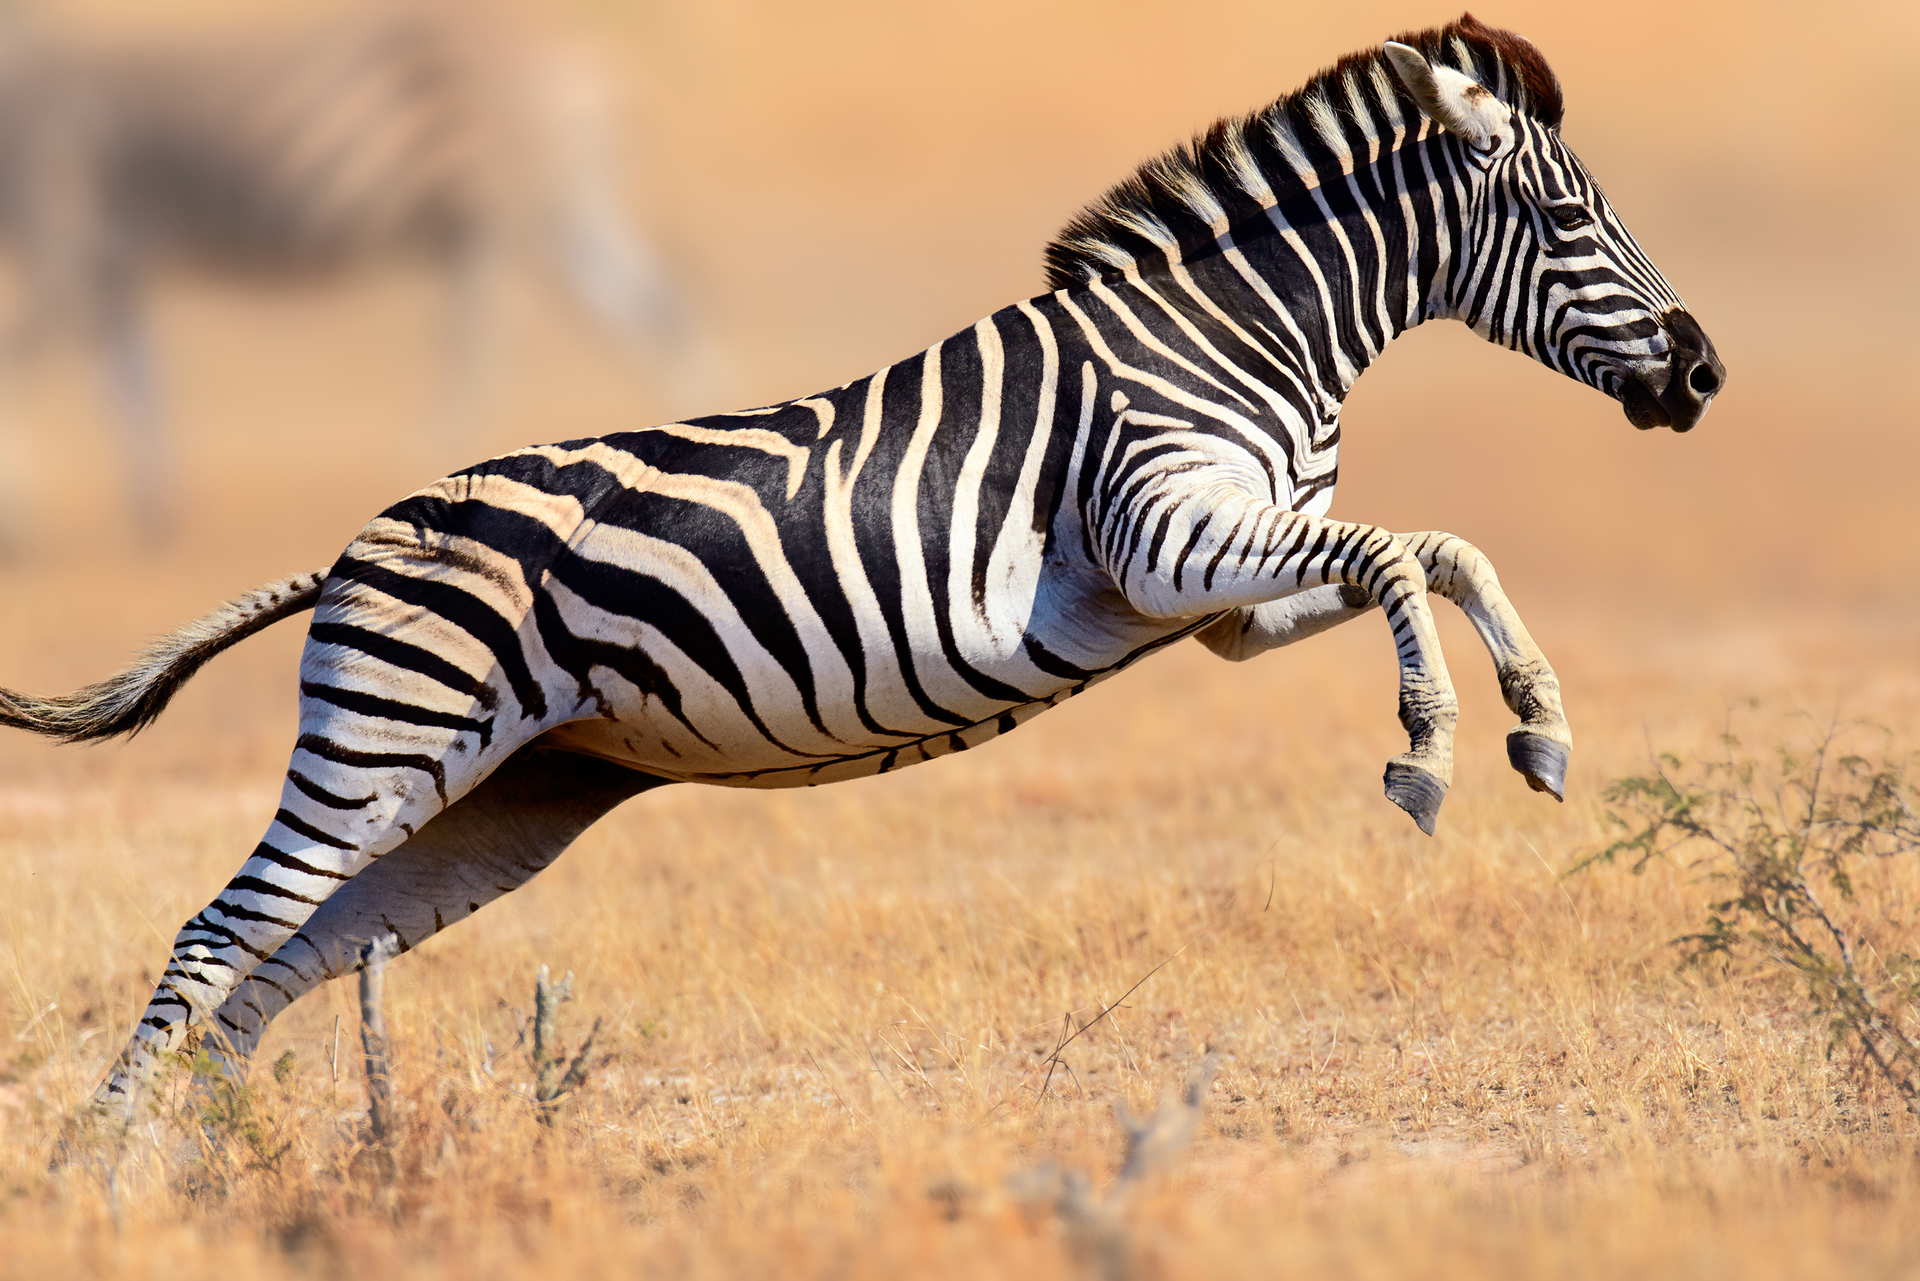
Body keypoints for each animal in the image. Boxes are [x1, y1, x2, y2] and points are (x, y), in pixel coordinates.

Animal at [0, 2, 704, 539]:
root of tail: (587, 66)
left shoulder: (66, 243)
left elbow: (32, 366)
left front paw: (21, 521)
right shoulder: (111, 269)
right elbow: (135, 388)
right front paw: (155, 515)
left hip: (500, 221)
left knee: (477, 354)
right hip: (561, 218)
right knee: (662, 315)